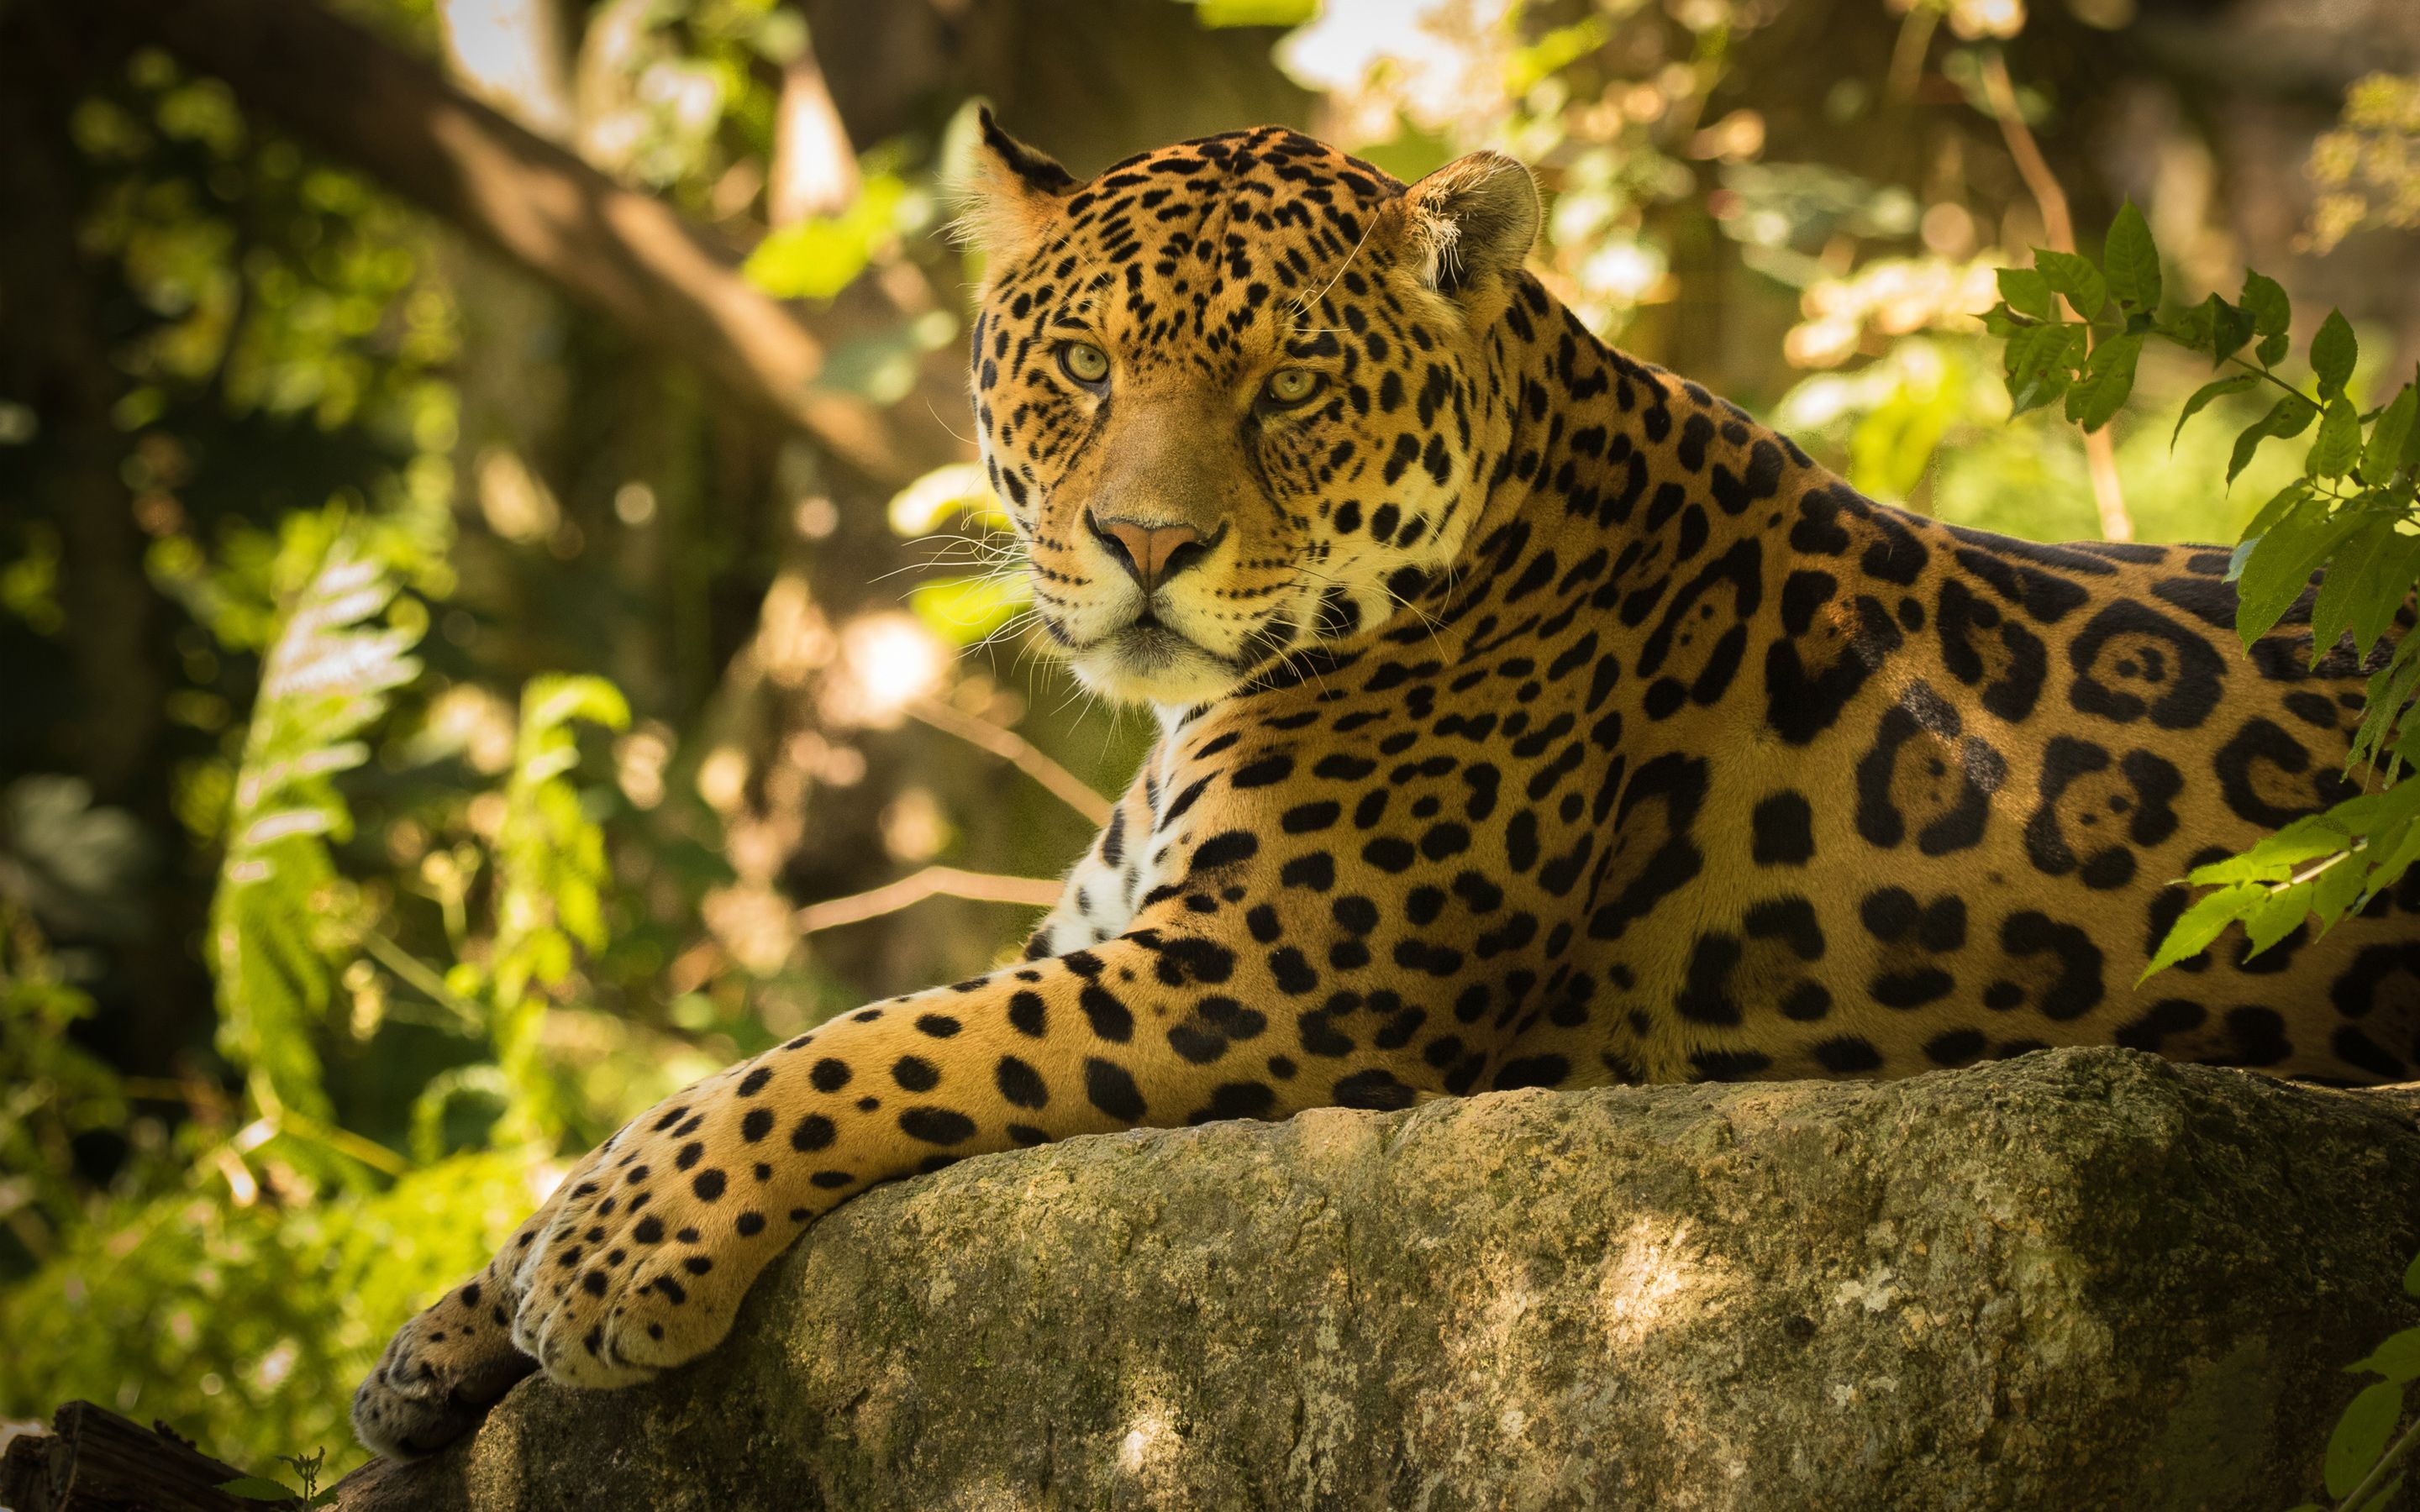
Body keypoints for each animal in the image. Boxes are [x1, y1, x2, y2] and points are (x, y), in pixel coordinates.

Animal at [352, 113, 2420, 1456]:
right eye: (1081, 363)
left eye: (1290, 389)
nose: (1145, 544)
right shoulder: (1109, 937)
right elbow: (749, 1065)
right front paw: (435, 1343)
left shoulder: (1263, 979)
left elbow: (854, 1046)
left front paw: (617, 1255)